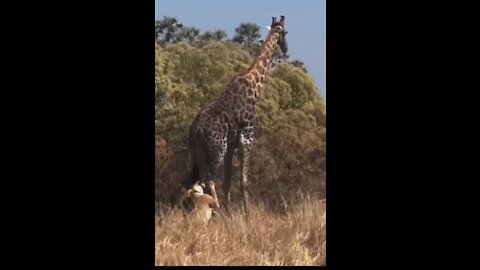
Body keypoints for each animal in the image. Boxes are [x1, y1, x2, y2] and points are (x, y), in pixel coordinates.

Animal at [184, 15, 288, 219]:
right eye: (285, 32)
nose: (286, 48)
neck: (254, 88)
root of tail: (195, 131)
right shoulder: (247, 138)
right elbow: (243, 181)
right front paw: (248, 217)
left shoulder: (232, 145)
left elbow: (228, 182)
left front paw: (231, 214)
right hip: (217, 148)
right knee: (208, 180)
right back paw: (214, 211)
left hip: (199, 152)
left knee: (197, 182)